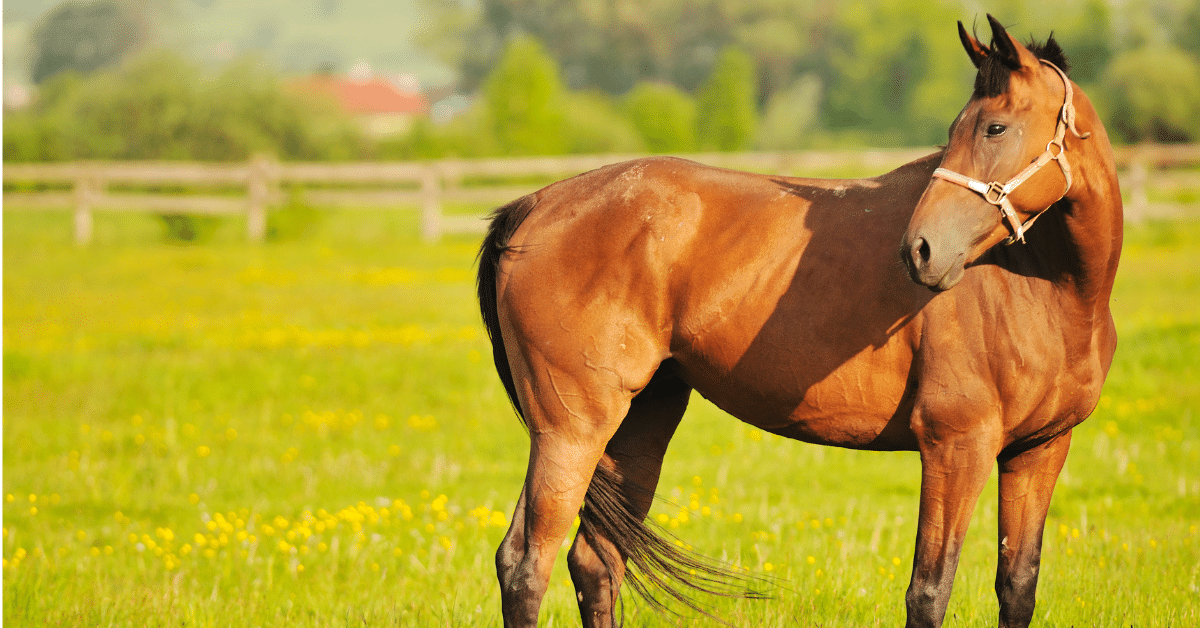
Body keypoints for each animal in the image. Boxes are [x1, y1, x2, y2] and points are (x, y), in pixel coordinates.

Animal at [477, 14, 1123, 628]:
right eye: (955, 132)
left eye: (994, 128)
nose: (920, 250)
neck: (1045, 287)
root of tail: (534, 207)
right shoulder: (956, 447)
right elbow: (929, 591)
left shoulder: (1039, 450)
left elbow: (1017, 587)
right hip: (570, 431)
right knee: (525, 563)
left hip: (638, 423)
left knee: (595, 562)